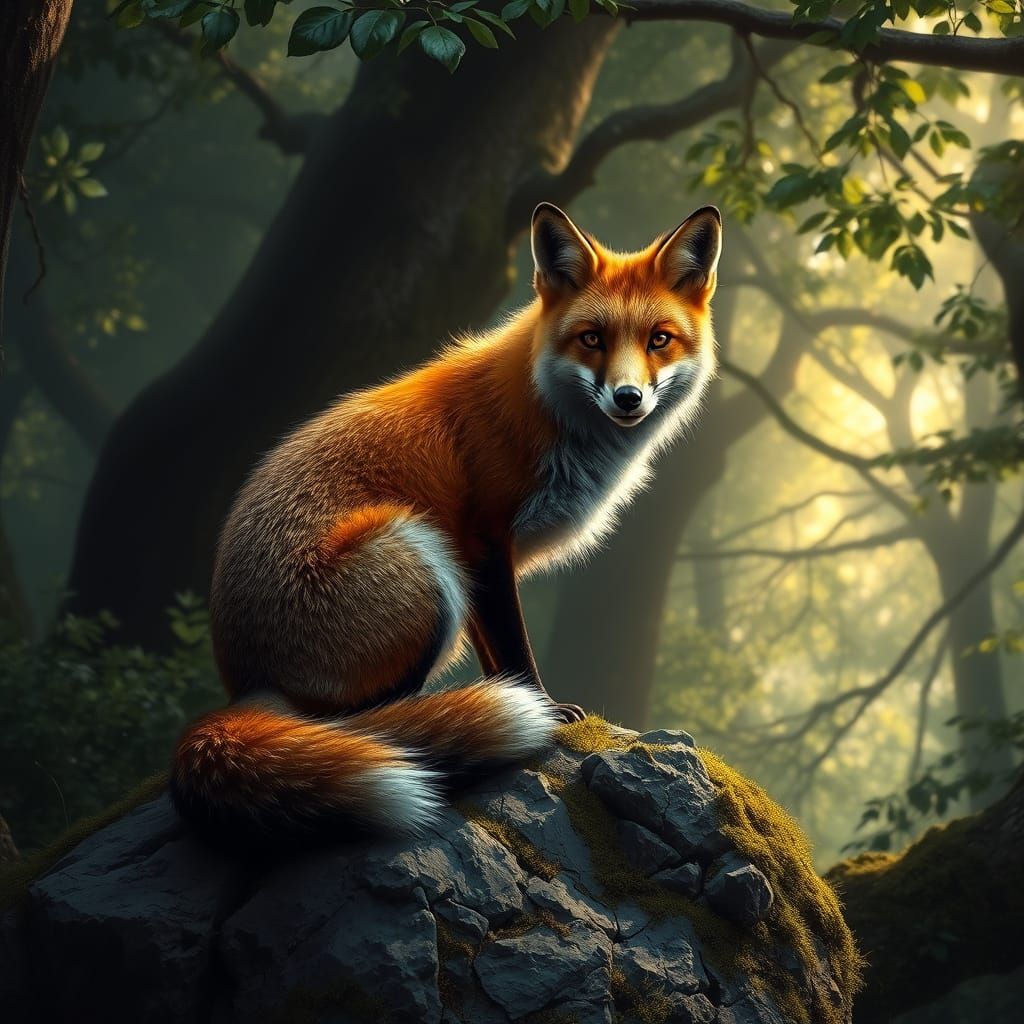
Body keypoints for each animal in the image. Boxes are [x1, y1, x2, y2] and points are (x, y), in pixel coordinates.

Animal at [171, 202, 722, 843]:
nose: (628, 398)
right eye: (592, 339)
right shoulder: (482, 540)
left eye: (659, 340)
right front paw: (545, 711)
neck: (542, 408)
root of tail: (244, 687)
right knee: (359, 720)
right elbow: (514, 646)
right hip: (422, 559)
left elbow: (494, 652)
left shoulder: (484, 563)